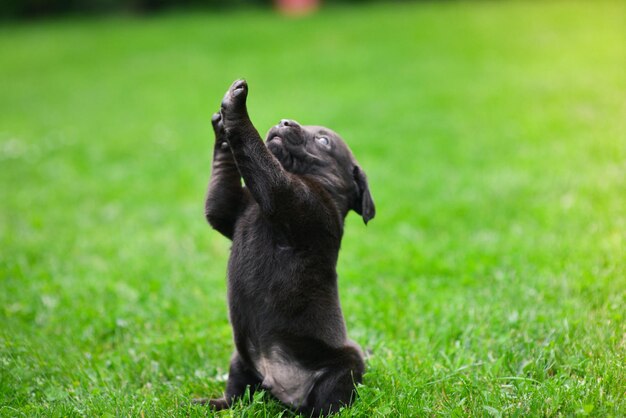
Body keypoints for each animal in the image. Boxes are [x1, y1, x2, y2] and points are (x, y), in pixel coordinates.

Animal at [202, 80, 372, 416]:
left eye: (323, 140)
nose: (285, 122)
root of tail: (281, 389)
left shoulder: (285, 194)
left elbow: (257, 152)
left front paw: (236, 110)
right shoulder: (228, 208)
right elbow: (223, 179)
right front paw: (221, 129)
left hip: (346, 364)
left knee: (331, 398)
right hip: (240, 360)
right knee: (236, 394)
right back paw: (212, 403)